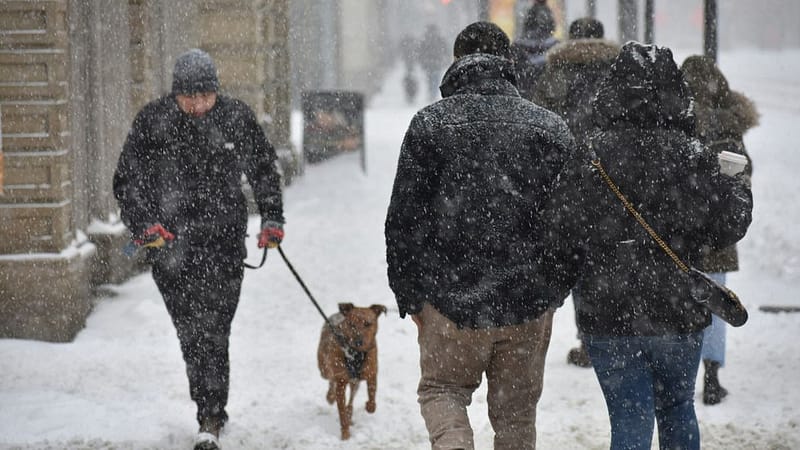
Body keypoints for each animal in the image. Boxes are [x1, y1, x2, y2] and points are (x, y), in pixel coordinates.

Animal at [318, 302, 386, 440]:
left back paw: (350, 412)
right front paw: (345, 434)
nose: (358, 341)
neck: (355, 354)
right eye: (351, 324)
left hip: (355, 382)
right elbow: (341, 411)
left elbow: (372, 394)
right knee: (330, 379)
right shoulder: (341, 382)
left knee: (352, 394)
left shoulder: (371, 372)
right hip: (324, 368)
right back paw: (331, 396)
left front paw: (369, 406)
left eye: (368, 324)